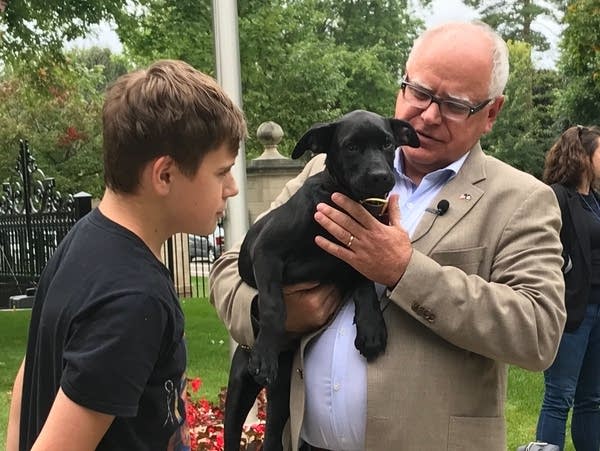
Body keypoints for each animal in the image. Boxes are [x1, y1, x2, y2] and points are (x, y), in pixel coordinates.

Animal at [223, 110, 420, 451]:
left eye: (387, 144)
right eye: (351, 147)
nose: (381, 177)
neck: (345, 200)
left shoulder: (355, 255)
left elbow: (364, 287)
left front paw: (371, 329)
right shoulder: (266, 251)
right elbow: (274, 306)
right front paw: (265, 352)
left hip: (281, 392)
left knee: (272, 436)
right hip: (238, 390)